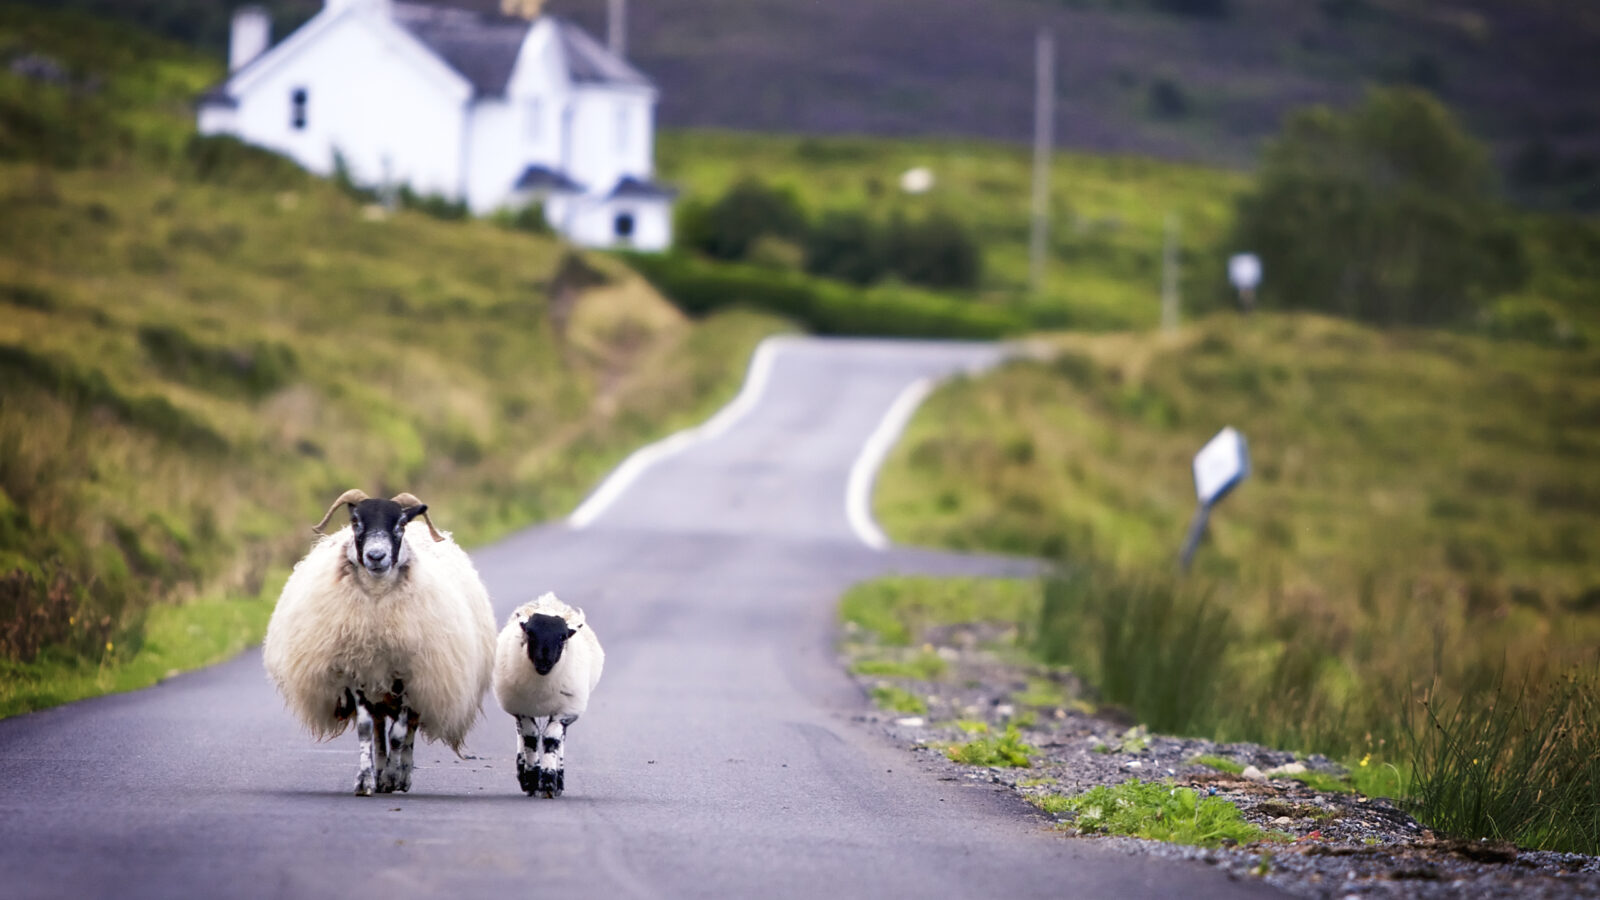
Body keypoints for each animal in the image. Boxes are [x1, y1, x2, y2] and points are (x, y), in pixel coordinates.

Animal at [263, 488, 497, 796]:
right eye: (355, 522)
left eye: (400, 524)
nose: (376, 556)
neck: (376, 606)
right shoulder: (357, 671)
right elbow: (366, 729)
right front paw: (366, 780)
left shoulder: (410, 674)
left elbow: (398, 734)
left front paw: (393, 776)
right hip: (379, 688)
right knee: (377, 728)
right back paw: (382, 770)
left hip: (423, 681)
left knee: (408, 729)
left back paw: (401, 774)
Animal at [492, 593, 604, 797]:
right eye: (530, 633)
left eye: (562, 637)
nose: (544, 660)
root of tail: (548, 601)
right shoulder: (522, 709)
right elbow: (530, 737)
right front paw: (531, 778)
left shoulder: (564, 711)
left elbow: (551, 739)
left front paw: (549, 782)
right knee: (521, 733)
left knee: (559, 739)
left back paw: (558, 779)